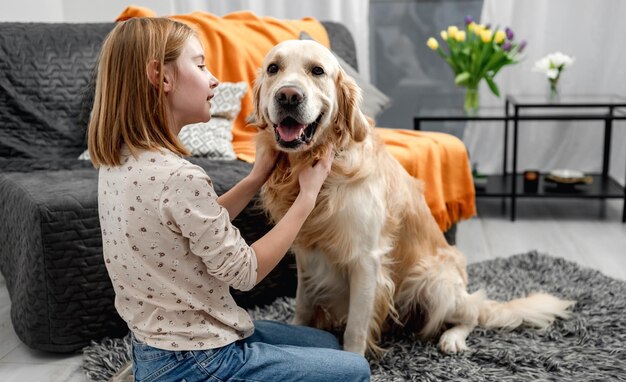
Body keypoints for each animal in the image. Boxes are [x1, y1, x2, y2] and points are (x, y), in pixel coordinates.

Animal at [250, 40, 576, 356]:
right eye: (273, 68)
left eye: (317, 70)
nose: (288, 96)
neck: (319, 169)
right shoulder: (307, 256)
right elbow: (303, 306)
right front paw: (295, 332)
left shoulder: (366, 260)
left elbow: (356, 328)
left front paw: (353, 359)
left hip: (431, 280)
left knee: (471, 312)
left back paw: (452, 338)